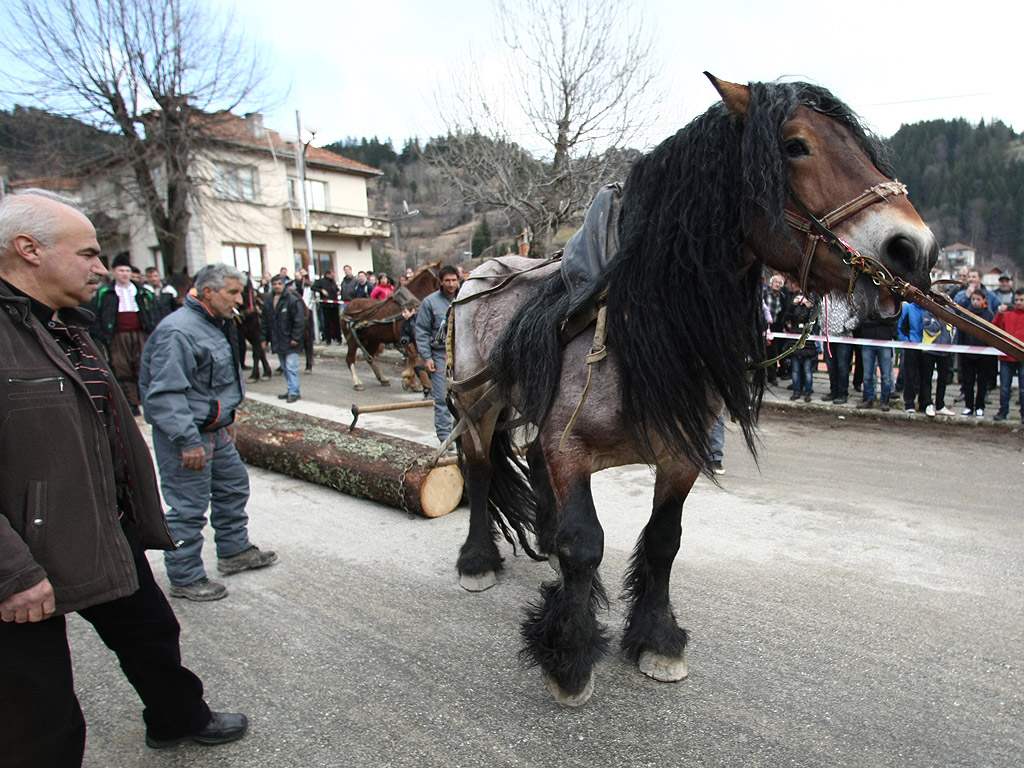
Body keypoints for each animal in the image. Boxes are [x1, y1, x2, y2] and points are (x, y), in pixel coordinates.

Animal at [446, 75, 937, 708]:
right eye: (794, 146)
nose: (914, 249)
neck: (636, 329)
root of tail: (477, 275)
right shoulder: (569, 447)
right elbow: (585, 543)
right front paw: (570, 656)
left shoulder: (679, 454)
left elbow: (663, 541)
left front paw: (656, 640)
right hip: (478, 404)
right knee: (482, 468)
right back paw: (477, 561)